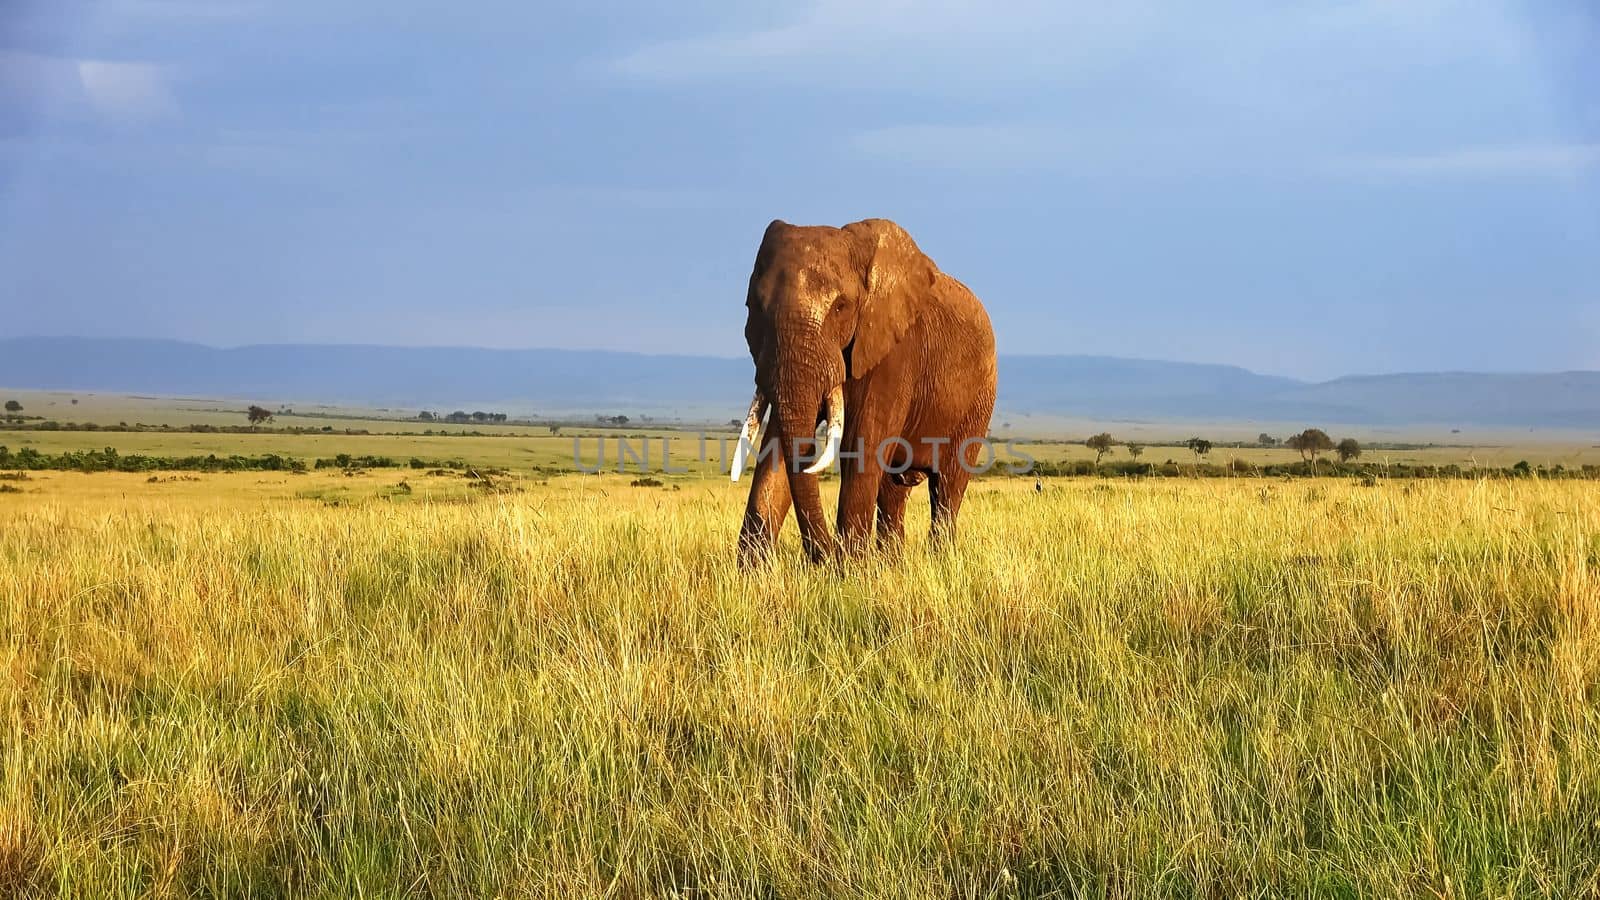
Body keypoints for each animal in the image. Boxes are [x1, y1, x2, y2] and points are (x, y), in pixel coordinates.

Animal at [729, 216, 998, 560]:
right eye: (754, 306)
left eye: (841, 307)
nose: (823, 557)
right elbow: (776, 447)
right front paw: (751, 570)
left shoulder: (895, 352)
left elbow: (862, 447)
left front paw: (850, 568)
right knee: (894, 491)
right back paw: (892, 562)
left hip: (980, 399)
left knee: (948, 487)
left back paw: (940, 559)